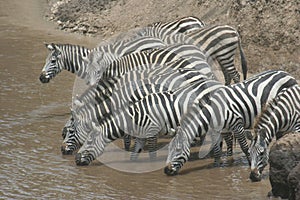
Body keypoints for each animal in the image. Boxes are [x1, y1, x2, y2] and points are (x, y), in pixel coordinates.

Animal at [72, 76, 223, 166]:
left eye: (89, 142)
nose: (76, 160)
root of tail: (216, 82)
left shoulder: (152, 131)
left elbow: (151, 152)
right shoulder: (140, 135)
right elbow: (134, 154)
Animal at [164, 70, 298, 175]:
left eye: (178, 150)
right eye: (169, 149)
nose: (166, 170)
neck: (213, 112)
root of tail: (285, 73)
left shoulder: (237, 125)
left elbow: (244, 147)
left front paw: (250, 163)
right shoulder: (218, 130)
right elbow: (217, 150)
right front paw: (217, 166)